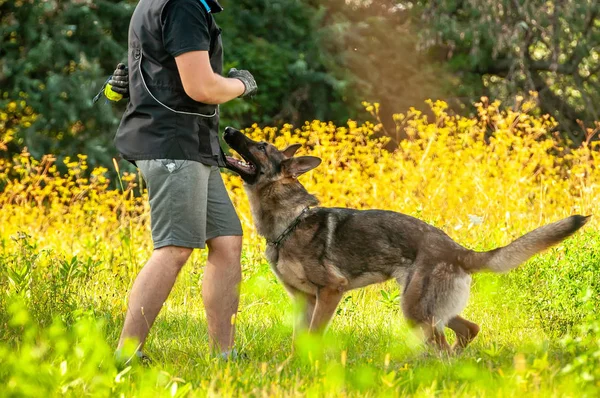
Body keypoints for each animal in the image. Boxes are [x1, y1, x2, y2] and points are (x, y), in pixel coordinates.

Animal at [223, 126, 588, 352]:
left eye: (260, 146)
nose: (227, 130)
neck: (288, 222)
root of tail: (459, 250)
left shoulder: (330, 292)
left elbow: (314, 335)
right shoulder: (303, 300)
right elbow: (300, 340)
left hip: (416, 311)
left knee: (445, 346)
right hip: (428, 309)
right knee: (469, 330)